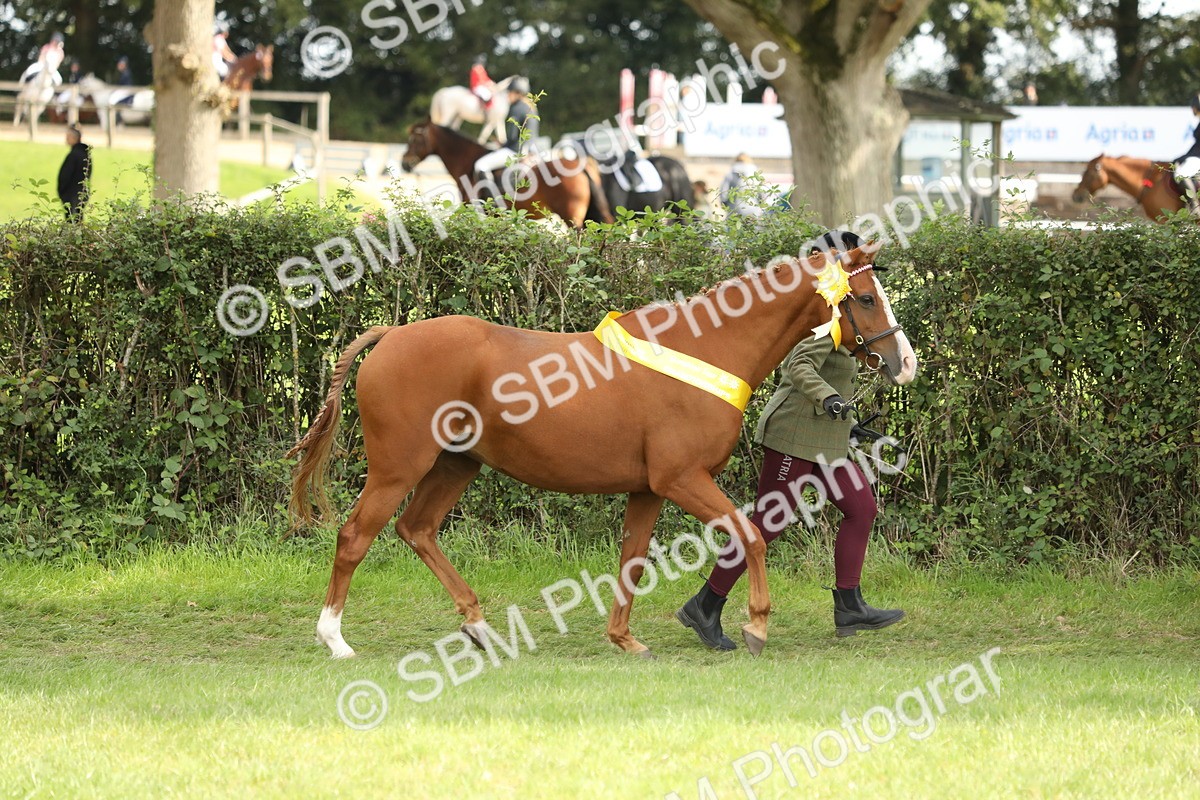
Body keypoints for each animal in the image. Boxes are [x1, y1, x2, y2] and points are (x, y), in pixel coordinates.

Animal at [287, 242, 918, 660]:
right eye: (865, 297)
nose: (904, 362)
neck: (704, 350)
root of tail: (391, 334)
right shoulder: (681, 479)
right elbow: (751, 535)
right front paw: (756, 627)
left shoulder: (648, 489)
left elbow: (632, 558)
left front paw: (625, 638)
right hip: (399, 468)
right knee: (355, 535)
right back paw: (334, 639)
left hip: (455, 464)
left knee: (416, 530)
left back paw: (480, 628)